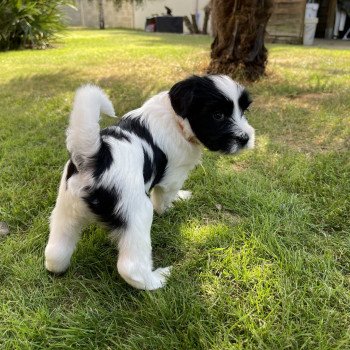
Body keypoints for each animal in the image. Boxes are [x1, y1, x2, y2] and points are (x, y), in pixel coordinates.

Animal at [45, 74, 256, 290]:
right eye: (218, 115)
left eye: (244, 110)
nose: (246, 138)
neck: (176, 120)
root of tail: (96, 156)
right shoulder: (173, 176)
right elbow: (166, 196)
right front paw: (173, 204)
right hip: (137, 214)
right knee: (131, 267)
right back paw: (158, 279)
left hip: (67, 208)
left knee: (55, 250)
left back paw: (58, 267)